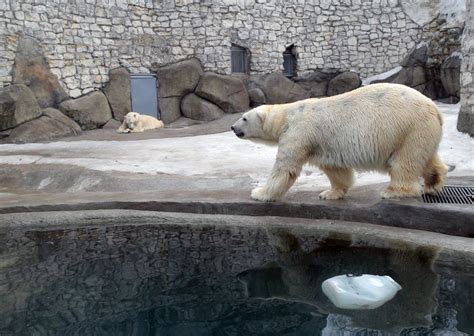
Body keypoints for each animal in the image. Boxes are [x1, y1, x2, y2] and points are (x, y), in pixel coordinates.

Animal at [232, 82, 448, 201]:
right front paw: (329, 193)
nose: (233, 128)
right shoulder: (322, 144)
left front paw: (259, 192)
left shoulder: (298, 133)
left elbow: (285, 169)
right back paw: (433, 182)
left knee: (404, 162)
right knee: (425, 157)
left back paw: (393, 191)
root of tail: (435, 109)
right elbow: (335, 169)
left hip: (408, 128)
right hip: (420, 132)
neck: (286, 116)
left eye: (244, 118)